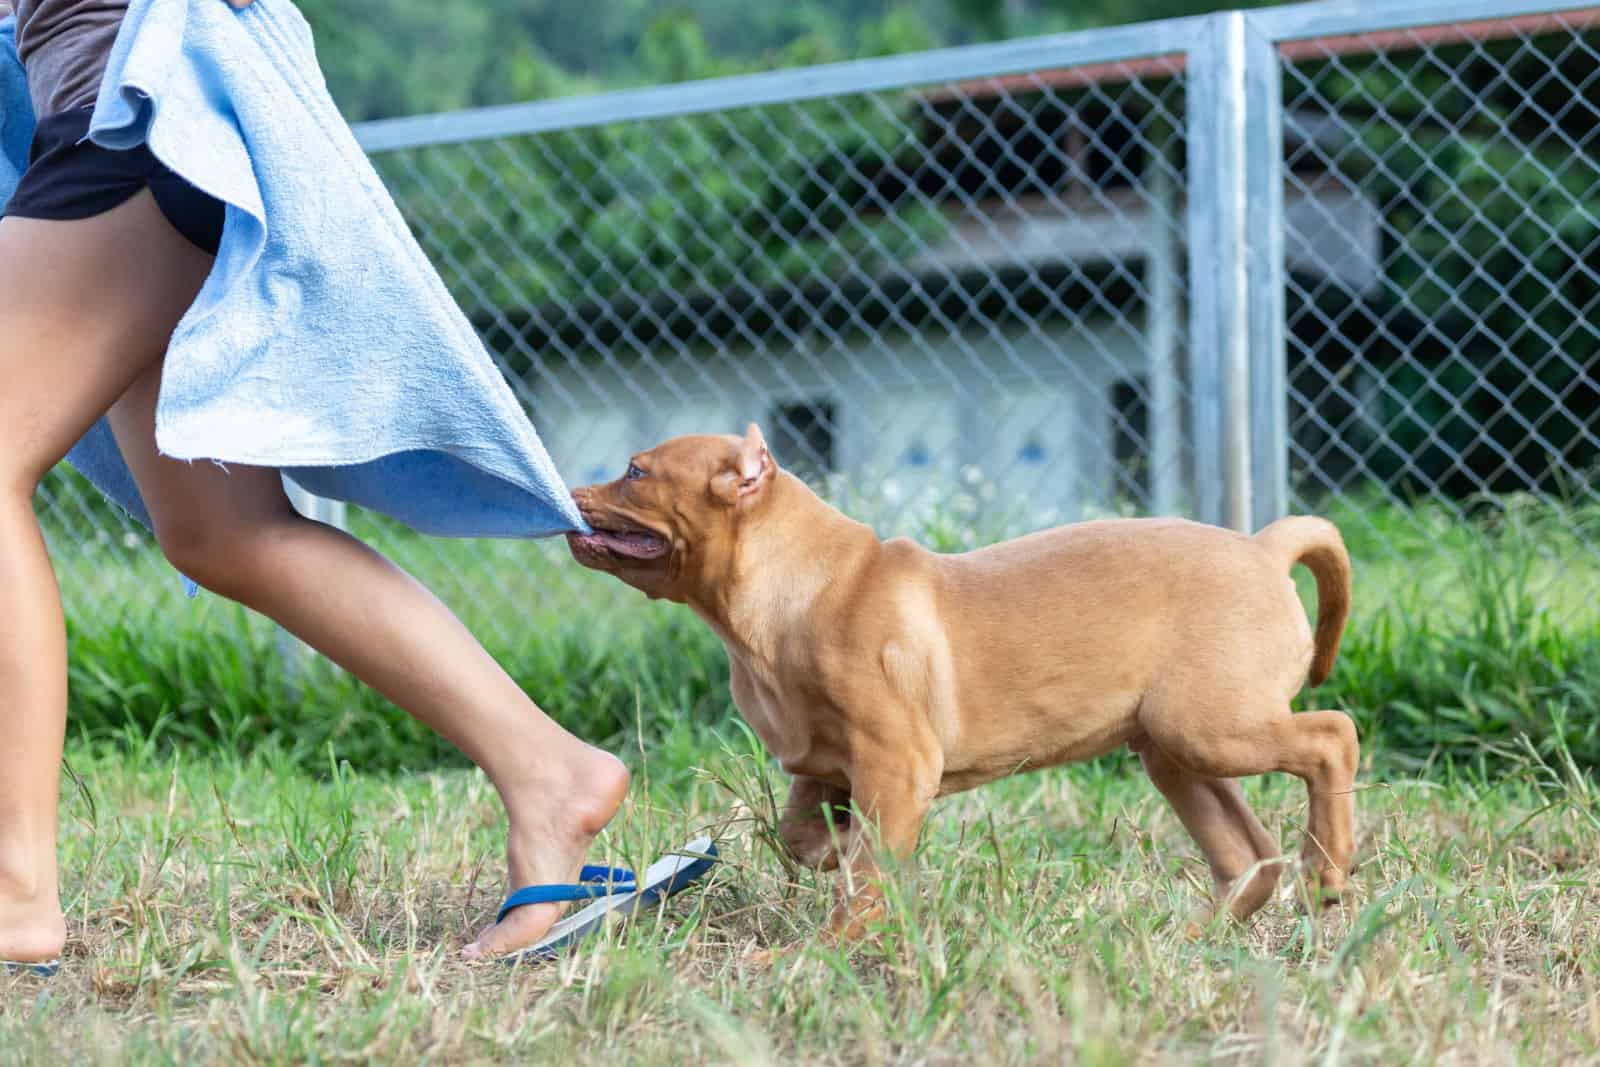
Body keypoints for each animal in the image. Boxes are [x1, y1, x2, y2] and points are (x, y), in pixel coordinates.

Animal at [569, 422, 1356, 940]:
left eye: (635, 472)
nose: (570, 492)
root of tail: (1263, 549)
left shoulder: (897, 761)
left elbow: (864, 879)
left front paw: (829, 947)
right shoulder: (823, 764)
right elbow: (803, 837)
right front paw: (837, 849)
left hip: (1213, 725)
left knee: (1333, 737)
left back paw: (1329, 869)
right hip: (1173, 748)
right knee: (1248, 853)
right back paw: (1193, 935)